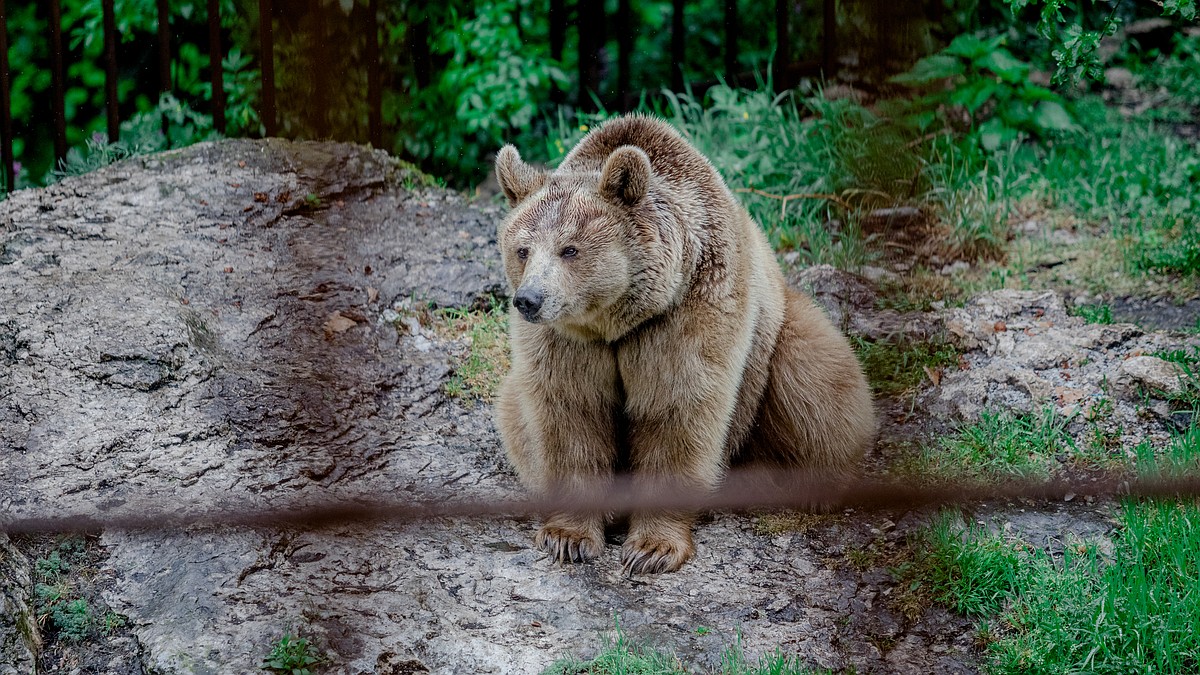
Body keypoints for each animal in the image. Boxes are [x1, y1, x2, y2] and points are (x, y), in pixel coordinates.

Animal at [492, 112, 878, 569]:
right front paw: (567, 536)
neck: (617, 321)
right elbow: (571, 414)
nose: (529, 299)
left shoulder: (689, 313)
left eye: (570, 249)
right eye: (523, 249)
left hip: (777, 338)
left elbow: (677, 410)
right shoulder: (567, 341)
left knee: (817, 384)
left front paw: (652, 548)